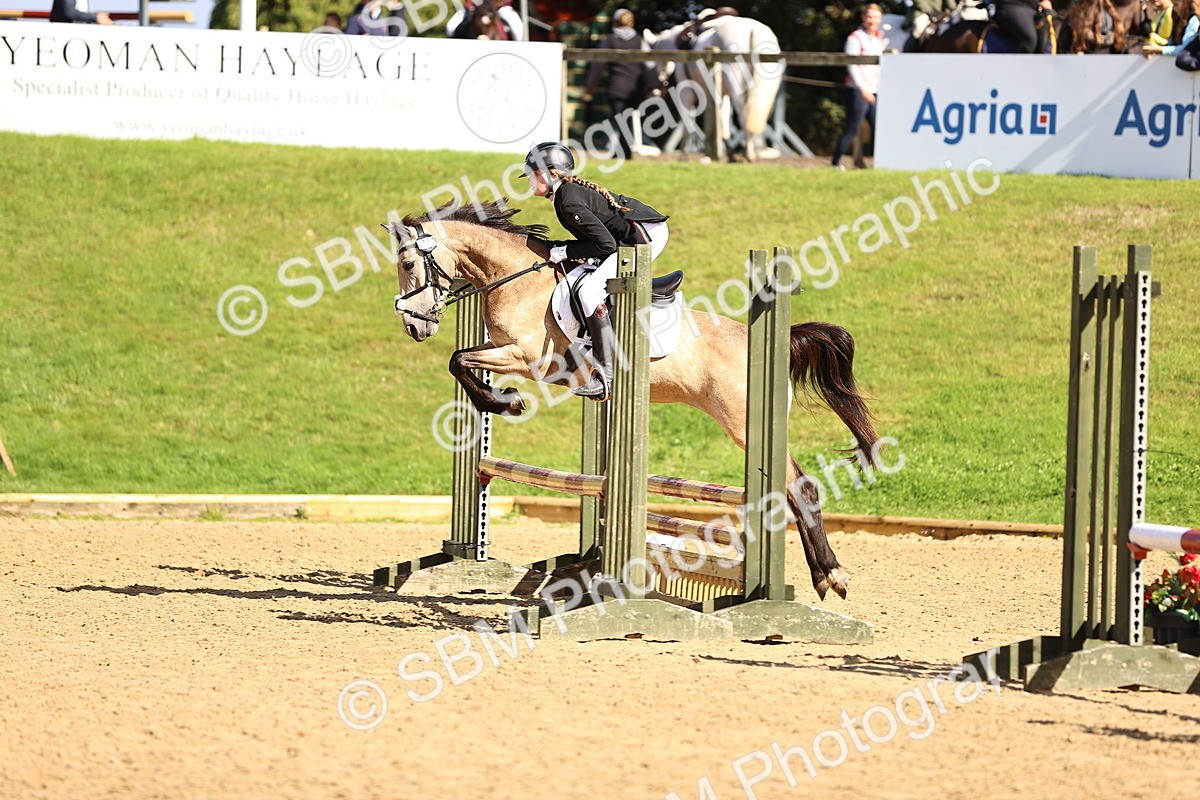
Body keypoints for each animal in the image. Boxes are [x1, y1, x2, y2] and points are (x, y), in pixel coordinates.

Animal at [390, 201, 882, 602]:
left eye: (410, 262)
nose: (414, 326)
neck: (515, 281)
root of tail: (772, 343)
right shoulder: (508, 352)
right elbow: (460, 360)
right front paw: (501, 401)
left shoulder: (529, 360)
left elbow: (458, 360)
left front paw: (504, 403)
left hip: (744, 423)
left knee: (799, 486)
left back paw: (830, 576)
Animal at [644, 14, 782, 162]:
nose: (657, 89)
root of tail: (754, 29)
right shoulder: (722, 94)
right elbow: (723, 123)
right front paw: (729, 154)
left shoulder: (686, 92)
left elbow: (688, 123)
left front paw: (683, 155)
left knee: (744, 117)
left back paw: (749, 154)